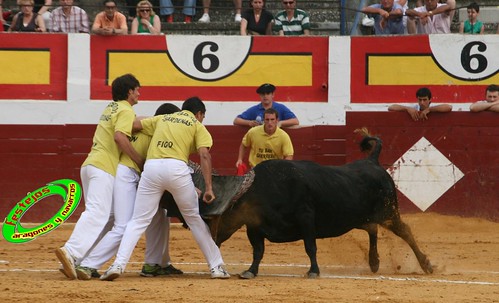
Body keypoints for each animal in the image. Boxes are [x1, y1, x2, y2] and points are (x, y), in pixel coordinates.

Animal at [161, 137, 434, 280]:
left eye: (211, 220)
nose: (212, 240)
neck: (261, 190)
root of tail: (372, 161)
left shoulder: (306, 218)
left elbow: (310, 246)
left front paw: (313, 271)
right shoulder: (255, 226)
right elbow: (258, 251)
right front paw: (250, 271)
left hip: (389, 212)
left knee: (405, 231)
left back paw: (426, 265)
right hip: (361, 216)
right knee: (373, 230)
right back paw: (374, 262)